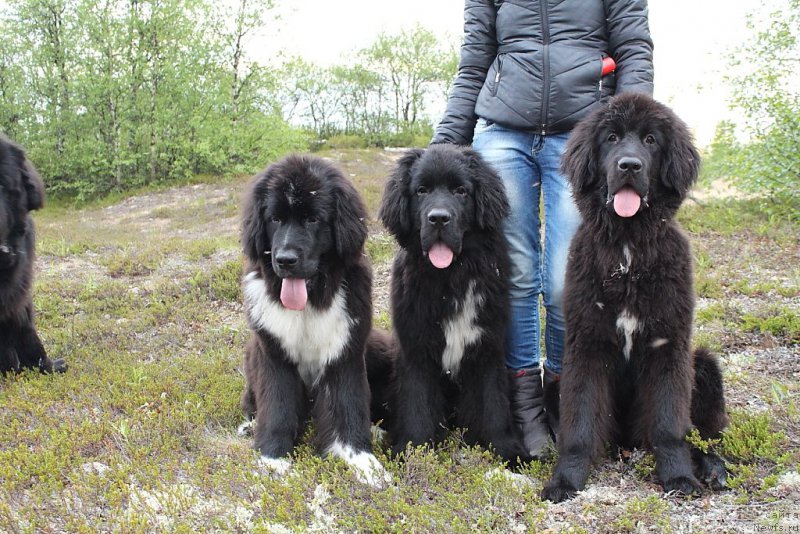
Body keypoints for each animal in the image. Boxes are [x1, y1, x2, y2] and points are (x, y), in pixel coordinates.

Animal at [236, 154, 390, 490]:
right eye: (275, 219)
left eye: (313, 219)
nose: (285, 260)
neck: (309, 302)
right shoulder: (274, 355)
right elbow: (277, 407)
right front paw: (273, 458)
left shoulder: (345, 353)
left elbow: (349, 405)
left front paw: (363, 460)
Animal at [540, 94, 728, 504]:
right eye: (611, 138)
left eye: (651, 140)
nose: (629, 164)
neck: (627, 253)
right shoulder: (587, 346)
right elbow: (579, 427)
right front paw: (565, 481)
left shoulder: (668, 345)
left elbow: (670, 426)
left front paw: (678, 478)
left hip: (705, 366)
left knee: (706, 435)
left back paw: (713, 468)